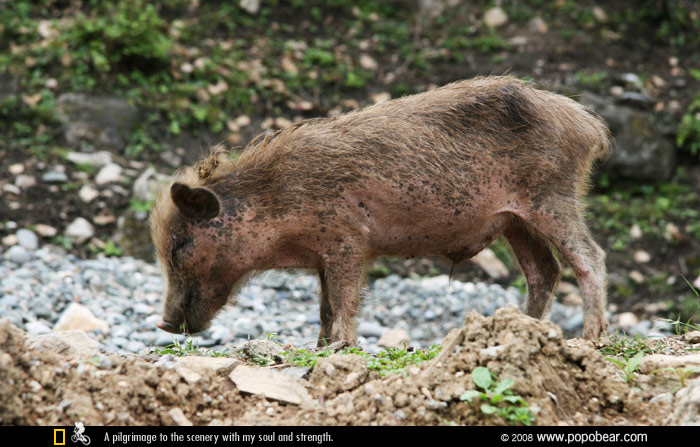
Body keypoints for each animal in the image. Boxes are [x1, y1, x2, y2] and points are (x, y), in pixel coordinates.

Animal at [150, 76, 608, 346]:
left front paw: (339, 349)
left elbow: (344, 302)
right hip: (516, 220)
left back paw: (590, 341)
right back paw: (520, 332)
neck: (276, 202)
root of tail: (587, 123)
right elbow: (324, 306)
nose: (164, 324)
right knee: (544, 270)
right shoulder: (323, 256)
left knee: (591, 258)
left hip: (552, 197)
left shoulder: (347, 242)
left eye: (179, 248)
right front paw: (321, 348)